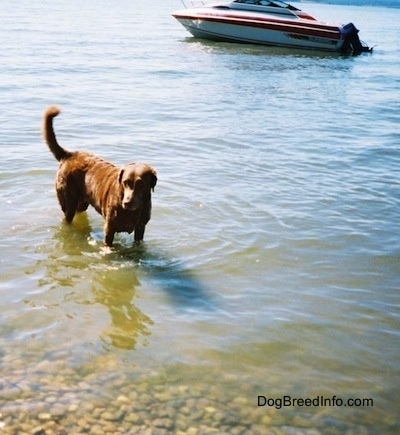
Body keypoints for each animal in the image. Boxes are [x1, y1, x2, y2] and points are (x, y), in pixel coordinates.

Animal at [42, 107, 157, 247]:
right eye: (125, 182)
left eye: (141, 184)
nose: (127, 202)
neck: (133, 212)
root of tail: (69, 154)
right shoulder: (109, 228)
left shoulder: (140, 227)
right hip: (68, 200)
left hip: (81, 202)